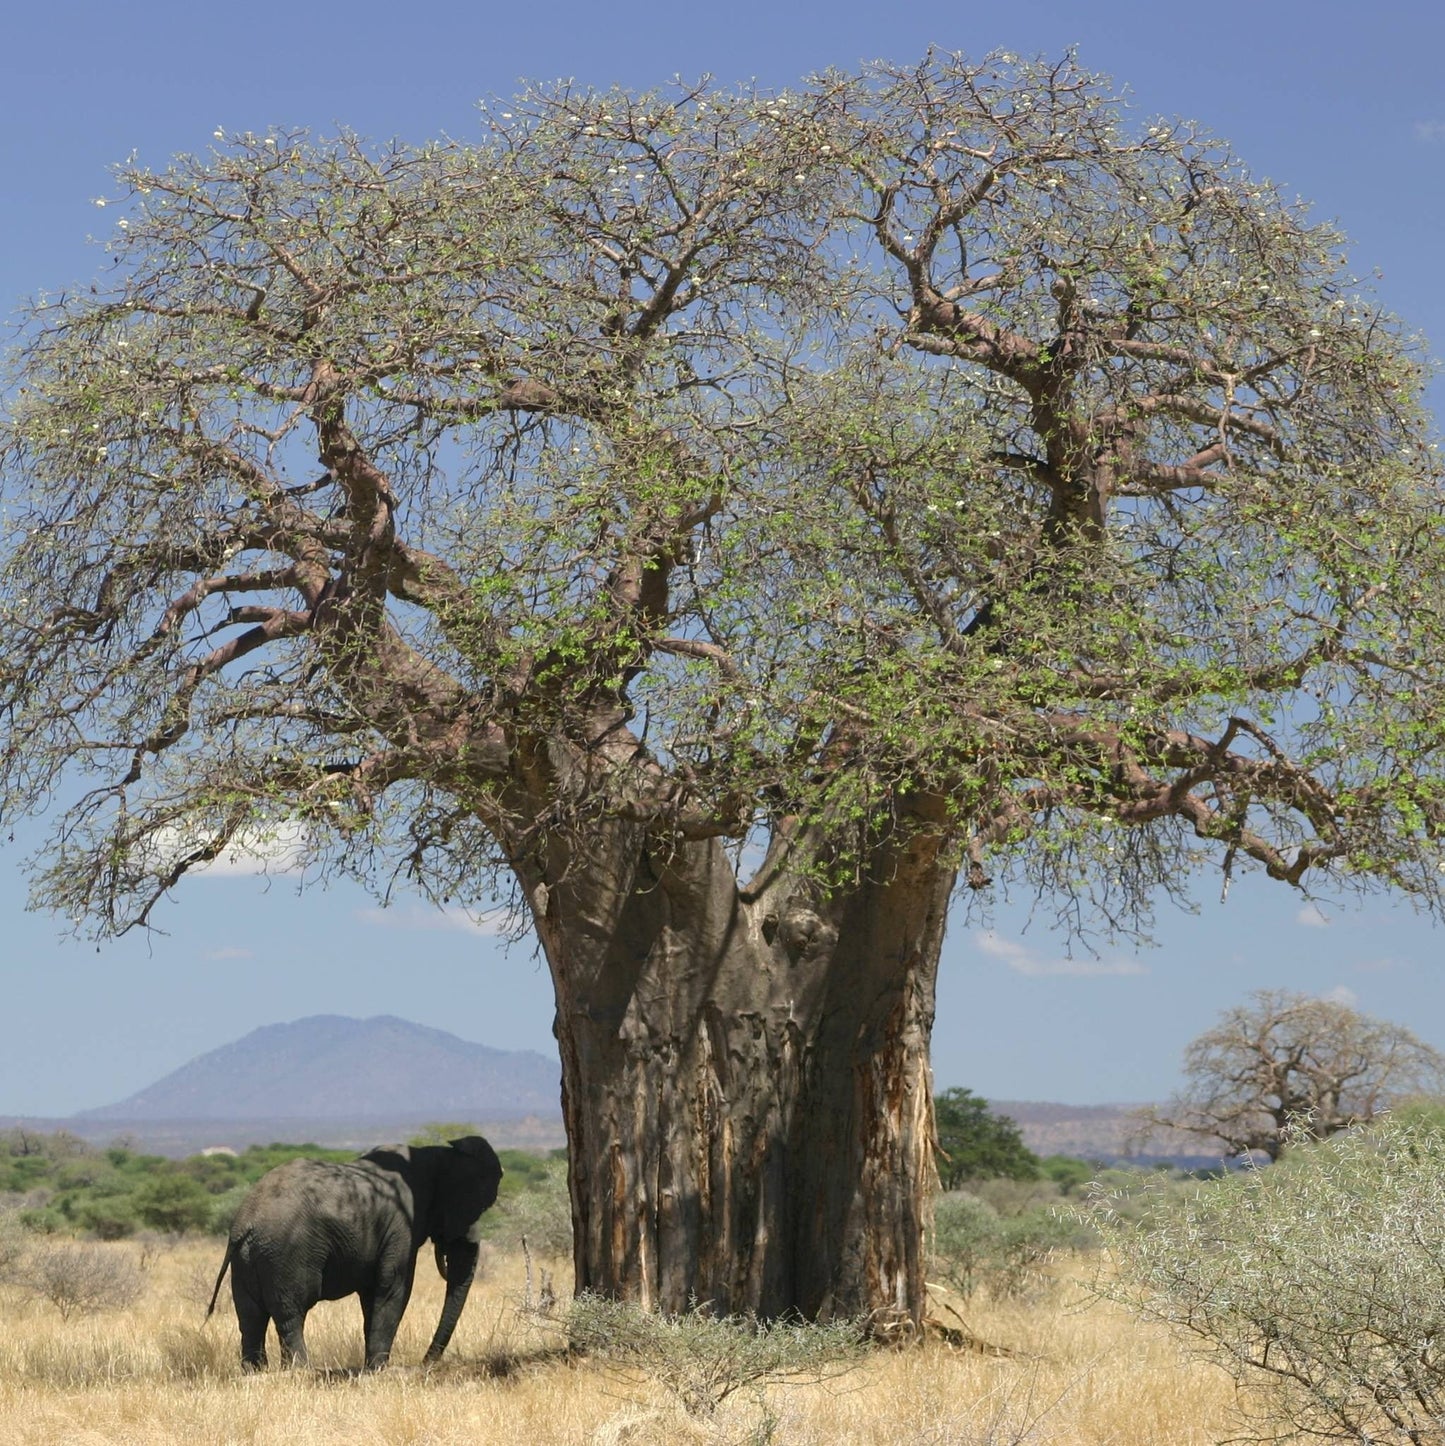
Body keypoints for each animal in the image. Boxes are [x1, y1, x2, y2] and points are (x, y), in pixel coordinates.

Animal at [206, 1139, 503, 1365]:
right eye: (476, 1207)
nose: (424, 1364)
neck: (434, 1153)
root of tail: (244, 1223)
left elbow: (372, 1294)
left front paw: (372, 1366)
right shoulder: (401, 1225)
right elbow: (394, 1288)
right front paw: (378, 1369)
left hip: (246, 1259)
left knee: (250, 1316)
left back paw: (256, 1372)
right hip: (286, 1253)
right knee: (291, 1313)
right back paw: (301, 1370)